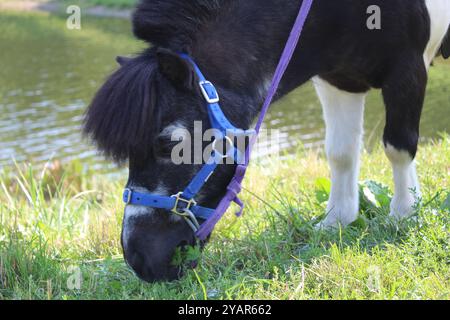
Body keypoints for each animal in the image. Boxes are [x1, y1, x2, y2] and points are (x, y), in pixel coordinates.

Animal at [83, 0, 450, 282]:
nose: (139, 258)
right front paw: (337, 220)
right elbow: (341, 152)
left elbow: (398, 146)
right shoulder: (338, 79)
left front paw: (404, 215)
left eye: (169, 143)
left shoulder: (407, 68)